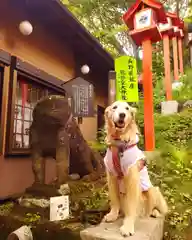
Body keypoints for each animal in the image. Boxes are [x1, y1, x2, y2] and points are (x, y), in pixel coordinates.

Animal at [103, 101, 167, 236]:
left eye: (127, 108)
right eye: (114, 107)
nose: (122, 115)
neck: (119, 143)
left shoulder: (131, 177)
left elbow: (131, 206)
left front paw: (127, 226)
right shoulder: (111, 176)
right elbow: (114, 200)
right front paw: (113, 215)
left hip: (153, 190)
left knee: (158, 209)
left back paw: (154, 212)